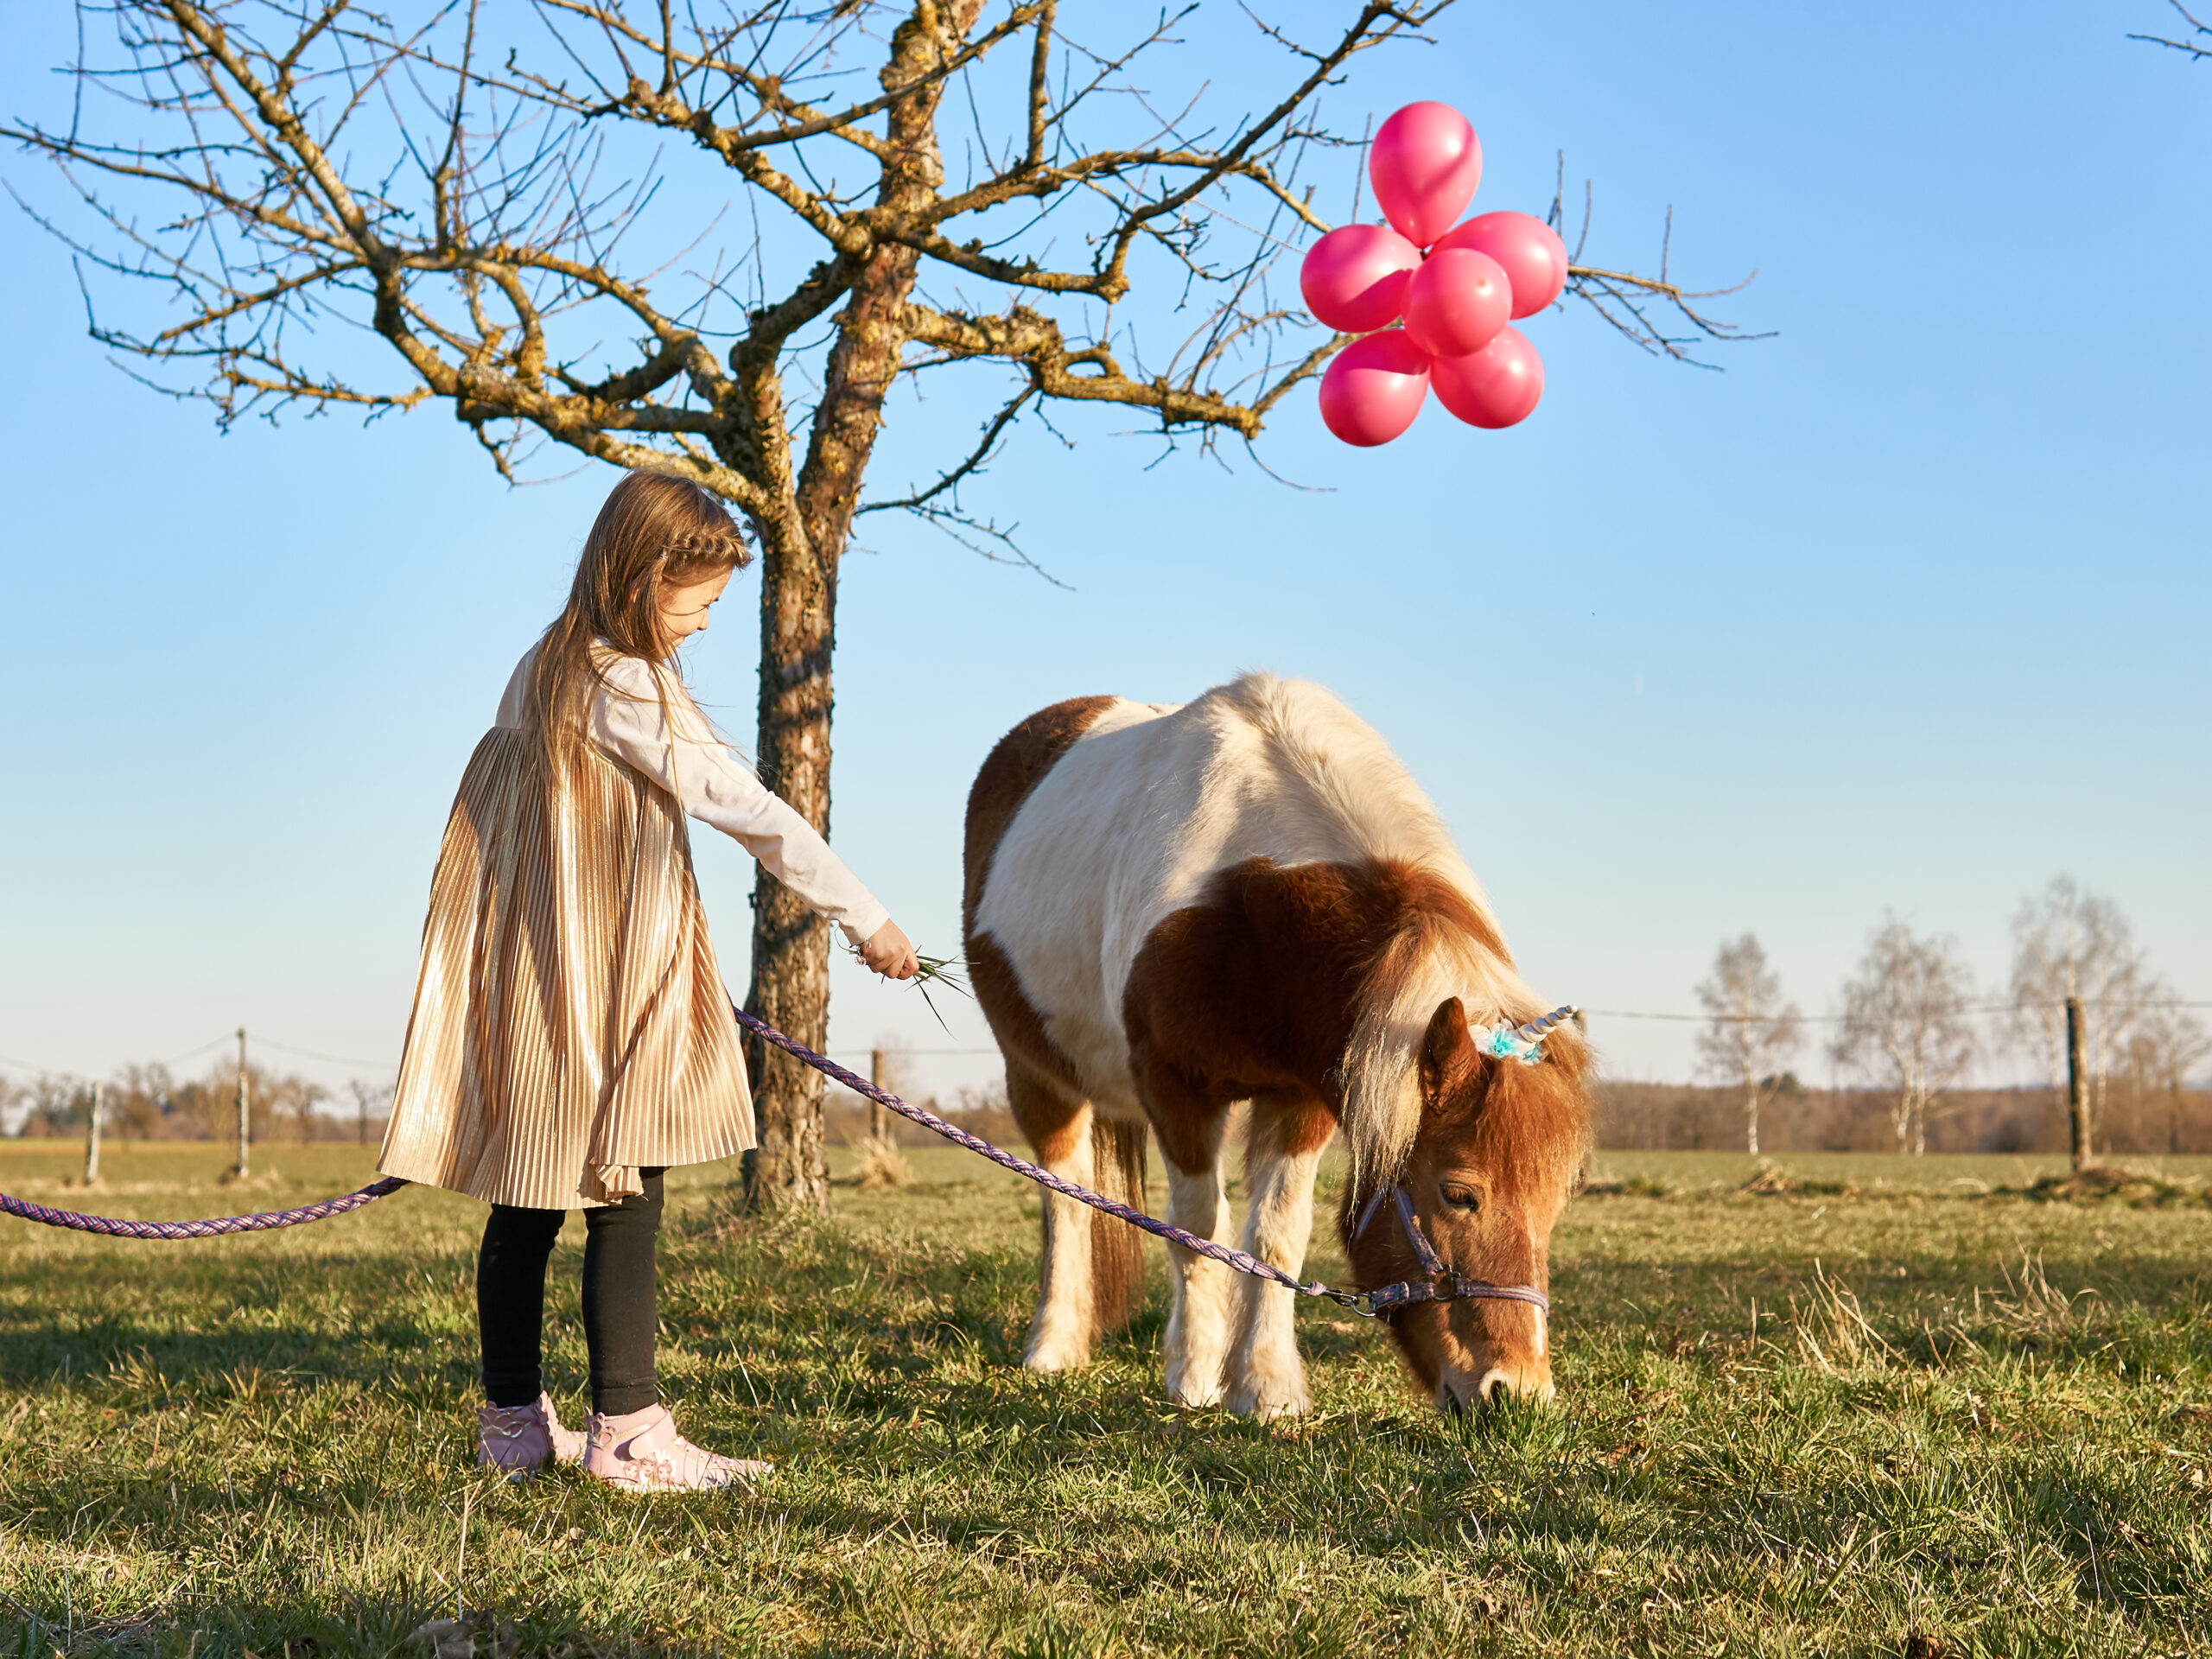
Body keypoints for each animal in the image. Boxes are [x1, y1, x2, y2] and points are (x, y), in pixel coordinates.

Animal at [964, 668, 1592, 1424]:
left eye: (1559, 1202)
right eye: (1459, 1194)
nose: (1518, 1395)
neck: (1248, 902)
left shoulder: (1304, 1097)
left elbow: (1276, 1235)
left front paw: (1264, 1389)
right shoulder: (1176, 1090)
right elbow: (1198, 1231)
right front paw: (1196, 1378)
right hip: (1038, 1078)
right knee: (1063, 1197)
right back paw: (1054, 1345)